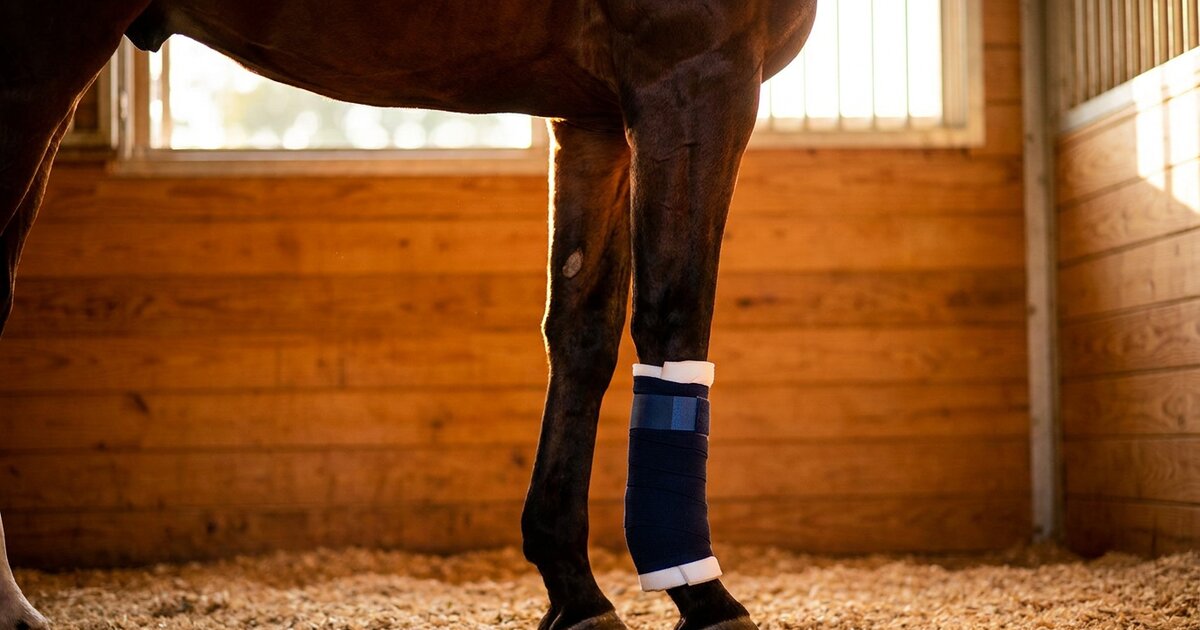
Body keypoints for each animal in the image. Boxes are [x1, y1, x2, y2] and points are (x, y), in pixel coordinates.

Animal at [0, 1, 817, 628]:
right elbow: (674, 318)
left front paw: (574, 590)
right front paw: (703, 596)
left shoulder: (594, 116)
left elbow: (582, 334)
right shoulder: (693, 71)